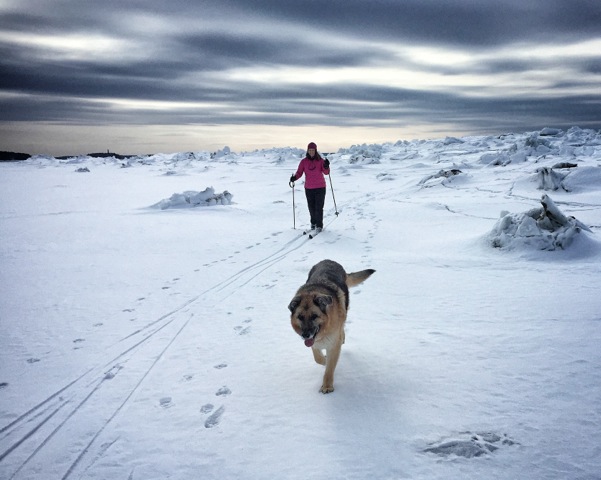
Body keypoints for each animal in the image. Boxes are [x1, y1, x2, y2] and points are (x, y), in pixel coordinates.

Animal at [288, 260, 376, 392]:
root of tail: (328, 260)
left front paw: (327, 386)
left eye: (314, 316)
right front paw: (323, 360)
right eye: (300, 317)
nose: (305, 335)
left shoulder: (333, 345)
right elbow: (318, 358)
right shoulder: (315, 342)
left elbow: (329, 368)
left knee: (342, 326)